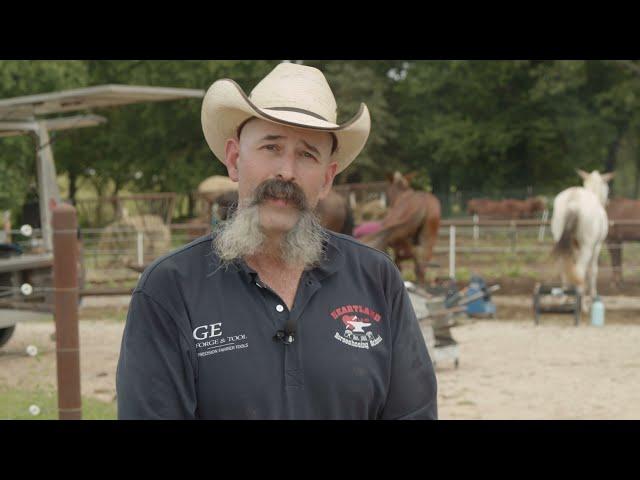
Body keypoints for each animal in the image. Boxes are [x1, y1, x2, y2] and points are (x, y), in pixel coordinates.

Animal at [552, 171, 616, 310]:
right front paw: (593, 296)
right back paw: (582, 305)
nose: (608, 201)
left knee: (564, 269)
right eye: (607, 187)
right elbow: (593, 271)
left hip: (561, 243)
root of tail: (573, 199)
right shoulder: (596, 246)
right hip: (587, 248)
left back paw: (564, 298)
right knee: (580, 270)